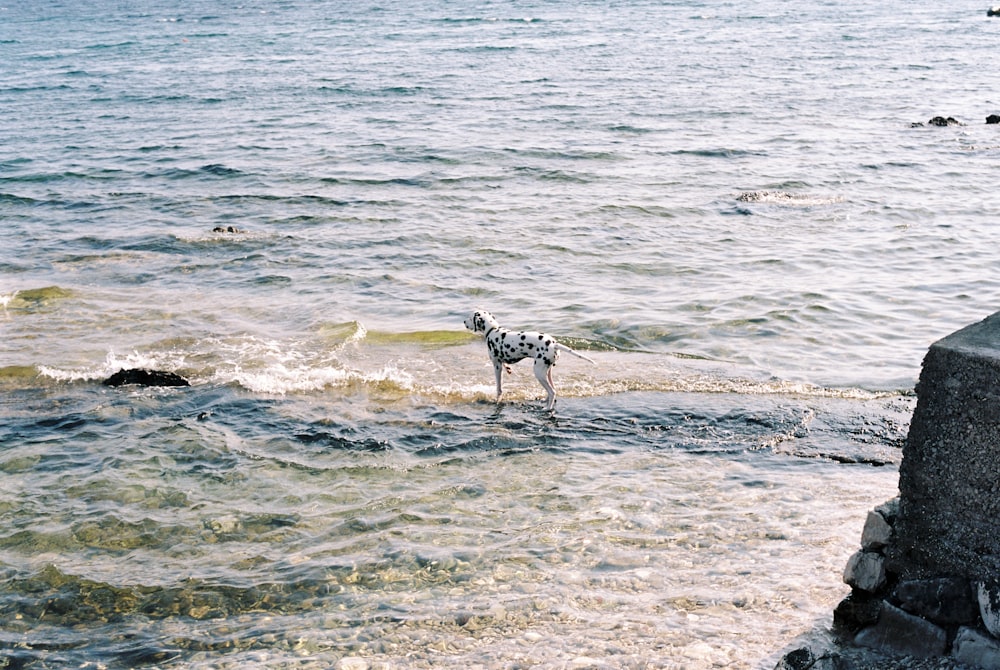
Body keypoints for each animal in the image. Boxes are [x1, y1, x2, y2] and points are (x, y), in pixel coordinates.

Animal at [462, 312, 592, 412]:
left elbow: (499, 388)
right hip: (548, 372)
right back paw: (546, 401)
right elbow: (506, 365)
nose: (463, 321)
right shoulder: (502, 361)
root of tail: (554, 344)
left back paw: (547, 408)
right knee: (553, 390)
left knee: (552, 391)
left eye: (470, 317)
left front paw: (497, 400)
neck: (492, 330)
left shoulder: (496, 366)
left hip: (539, 373)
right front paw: (508, 368)